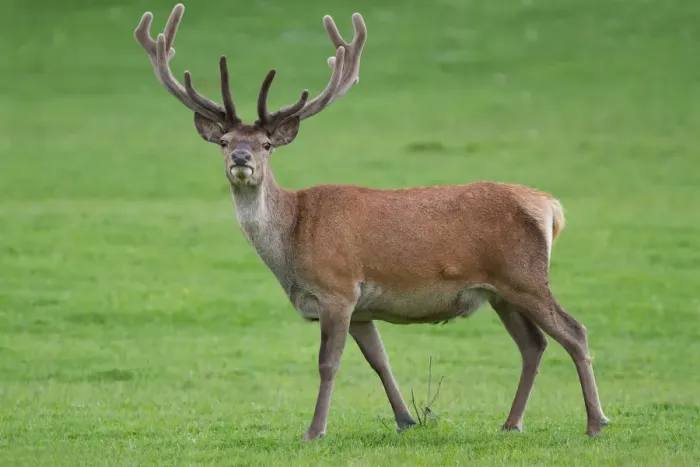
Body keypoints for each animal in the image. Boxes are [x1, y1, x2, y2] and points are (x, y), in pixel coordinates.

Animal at [134, 3, 609, 441]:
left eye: (267, 144)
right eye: (225, 141)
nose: (241, 159)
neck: (292, 242)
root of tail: (550, 207)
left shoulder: (337, 288)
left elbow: (328, 364)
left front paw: (314, 431)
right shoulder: (362, 307)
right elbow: (380, 360)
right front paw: (406, 419)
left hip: (525, 276)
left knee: (575, 332)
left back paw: (595, 422)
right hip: (499, 292)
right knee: (534, 344)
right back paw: (512, 423)